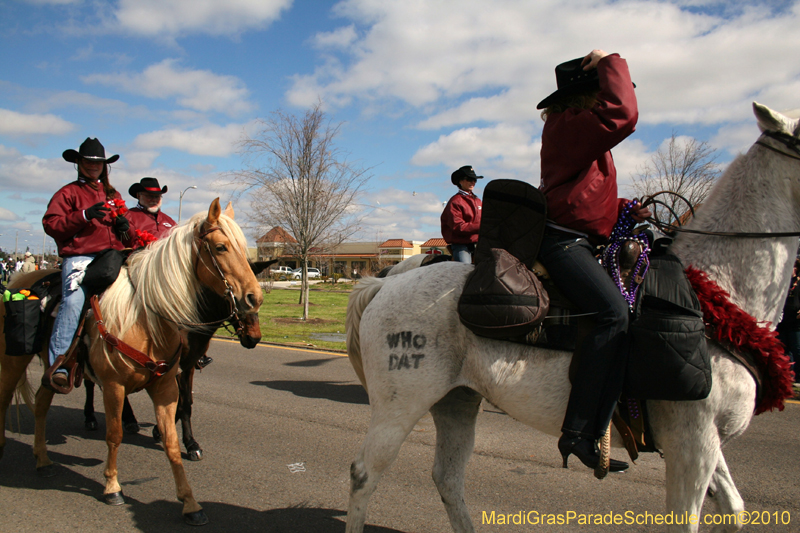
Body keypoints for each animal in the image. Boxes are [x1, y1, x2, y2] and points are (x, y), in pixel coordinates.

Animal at [0, 198, 262, 524]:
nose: (255, 298)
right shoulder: (114, 385)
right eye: (221, 247)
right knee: (5, 399)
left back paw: (43, 460)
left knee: (40, 403)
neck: (148, 318)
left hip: (53, 367)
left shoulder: (168, 383)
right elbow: (115, 435)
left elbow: (173, 436)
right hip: (13, 361)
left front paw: (189, 500)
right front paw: (113, 486)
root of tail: (21, 279)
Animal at [346, 101, 800, 532]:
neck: (714, 297)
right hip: (400, 405)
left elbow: (734, 509)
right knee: (363, 474)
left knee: (447, 478)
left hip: (456, 400)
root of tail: (385, 284)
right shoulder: (692, 444)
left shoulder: (706, 443)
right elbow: (686, 518)